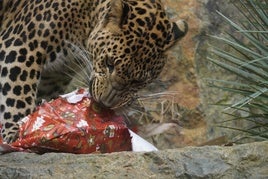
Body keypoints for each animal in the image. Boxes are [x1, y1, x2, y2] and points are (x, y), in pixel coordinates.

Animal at [0, 0, 187, 143]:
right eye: (109, 63)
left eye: (138, 81)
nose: (105, 103)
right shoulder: (21, 45)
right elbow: (17, 94)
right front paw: (14, 133)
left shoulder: (53, 78)